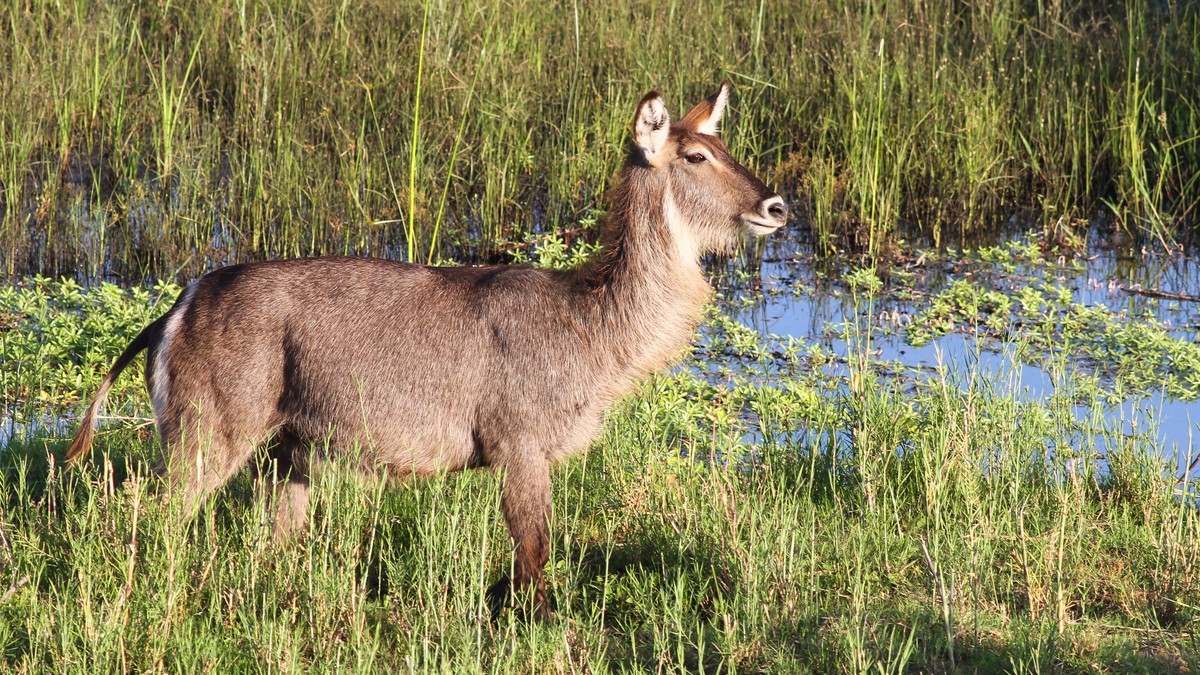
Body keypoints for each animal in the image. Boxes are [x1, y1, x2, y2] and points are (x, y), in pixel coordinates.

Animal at [66, 82, 787, 618]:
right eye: (695, 157)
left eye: (722, 144)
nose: (777, 207)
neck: (590, 323)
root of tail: (176, 308)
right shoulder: (519, 446)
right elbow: (534, 559)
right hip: (208, 434)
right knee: (150, 516)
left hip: (291, 456)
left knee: (264, 542)